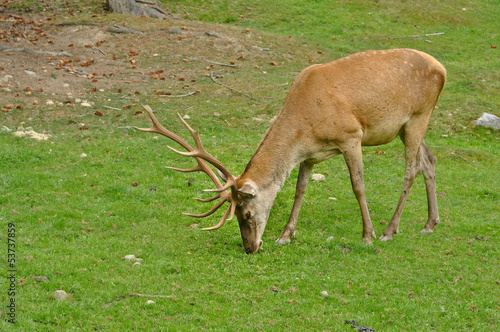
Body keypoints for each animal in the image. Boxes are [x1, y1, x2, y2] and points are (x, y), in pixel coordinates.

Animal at [135, 48, 448, 253]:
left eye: (246, 214)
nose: (250, 248)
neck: (304, 124)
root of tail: (442, 68)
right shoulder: (310, 154)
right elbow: (300, 189)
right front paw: (285, 235)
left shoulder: (351, 136)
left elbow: (358, 186)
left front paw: (367, 235)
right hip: (406, 127)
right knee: (430, 160)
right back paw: (430, 223)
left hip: (419, 115)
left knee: (411, 169)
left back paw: (389, 231)